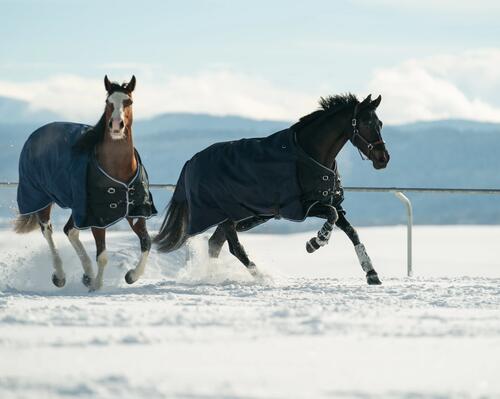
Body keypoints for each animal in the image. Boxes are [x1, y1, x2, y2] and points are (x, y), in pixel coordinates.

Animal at [14, 76, 156, 292]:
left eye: (129, 101)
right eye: (108, 102)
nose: (116, 125)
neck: (118, 169)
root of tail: (35, 135)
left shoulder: (135, 211)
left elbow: (147, 242)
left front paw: (131, 275)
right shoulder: (97, 218)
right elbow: (103, 255)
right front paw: (97, 285)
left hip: (77, 206)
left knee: (69, 230)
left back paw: (87, 274)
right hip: (42, 199)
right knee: (48, 231)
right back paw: (60, 276)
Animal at [154, 93, 388, 288]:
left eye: (380, 123)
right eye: (366, 122)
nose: (383, 158)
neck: (309, 156)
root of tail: (191, 162)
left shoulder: (329, 202)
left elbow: (351, 231)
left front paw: (372, 274)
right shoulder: (300, 207)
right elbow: (332, 216)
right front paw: (315, 242)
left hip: (237, 217)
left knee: (215, 243)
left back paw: (212, 275)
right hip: (227, 216)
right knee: (234, 248)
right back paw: (261, 276)